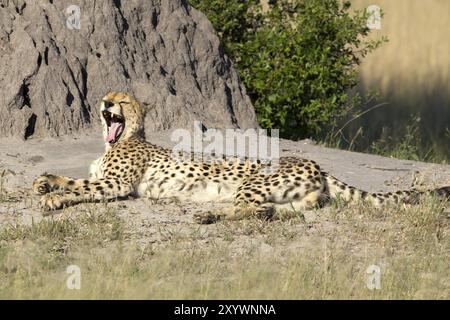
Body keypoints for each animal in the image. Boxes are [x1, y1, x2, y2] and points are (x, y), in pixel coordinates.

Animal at [33, 91, 450, 224]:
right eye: (108, 96)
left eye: (123, 101)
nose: (105, 103)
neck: (115, 141)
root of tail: (316, 163)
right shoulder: (104, 177)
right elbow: (73, 178)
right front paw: (44, 181)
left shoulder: (117, 183)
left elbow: (81, 187)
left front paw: (54, 198)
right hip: (292, 197)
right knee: (275, 210)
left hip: (252, 182)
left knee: (249, 206)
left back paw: (208, 215)